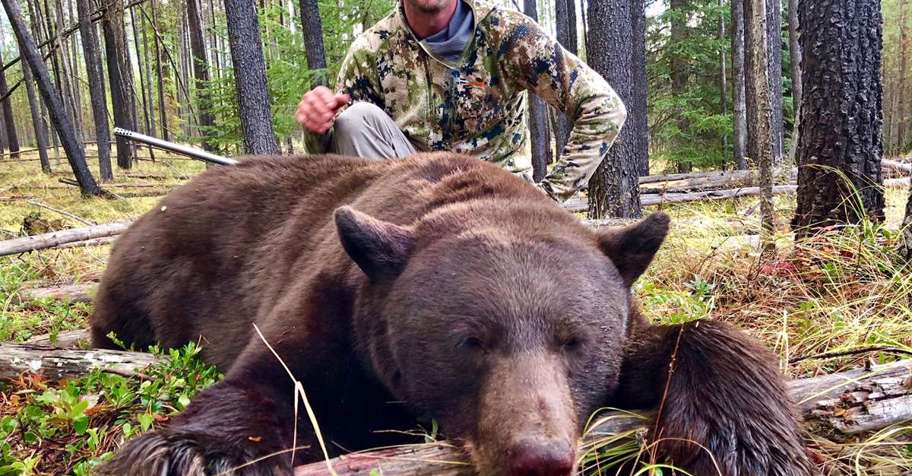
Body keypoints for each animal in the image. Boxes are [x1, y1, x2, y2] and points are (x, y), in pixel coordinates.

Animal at [92, 152, 813, 476]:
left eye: (574, 341)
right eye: (470, 341)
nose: (538, 456)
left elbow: (696, 340)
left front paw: (742, 446)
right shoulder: (335, 313)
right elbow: (268, 385)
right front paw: (188, 456)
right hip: (139, 285)